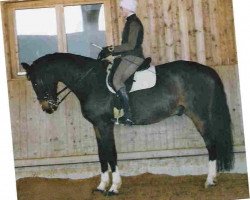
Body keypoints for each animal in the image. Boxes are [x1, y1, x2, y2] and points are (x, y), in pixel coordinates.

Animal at [21, 52, 234, 195]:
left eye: (36, 82)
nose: (47, 108)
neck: (90, 81)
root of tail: (207, 70)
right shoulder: (97, 126)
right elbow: (102, 155)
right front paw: (101, 186)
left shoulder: (105, 125)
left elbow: (112, 155)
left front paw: (114, 188)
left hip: (199, 116)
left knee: (211, 145)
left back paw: (209, 181)